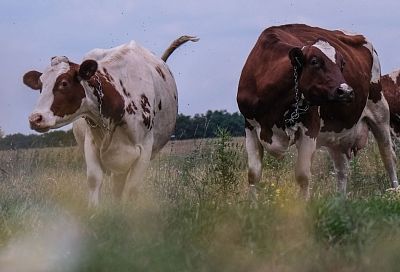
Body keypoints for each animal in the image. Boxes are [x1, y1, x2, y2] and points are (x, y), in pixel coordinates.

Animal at [22, 35, 198, 206]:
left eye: (64, 83)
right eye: (40, 86)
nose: (35, 118)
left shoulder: (145, 149)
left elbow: (132, 189)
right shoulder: (91, 144)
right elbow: (94, 180)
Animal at [238, 24, 396, 199]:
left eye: (342, 64)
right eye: (315, 62)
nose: (346, 91)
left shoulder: (310, 129)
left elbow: (303, 176)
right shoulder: (250, 126)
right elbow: (253, 174)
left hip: (380, 112)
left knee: (388, 157)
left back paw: (395, 192)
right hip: (337, 135)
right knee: (342, 170)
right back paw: (340, 201)